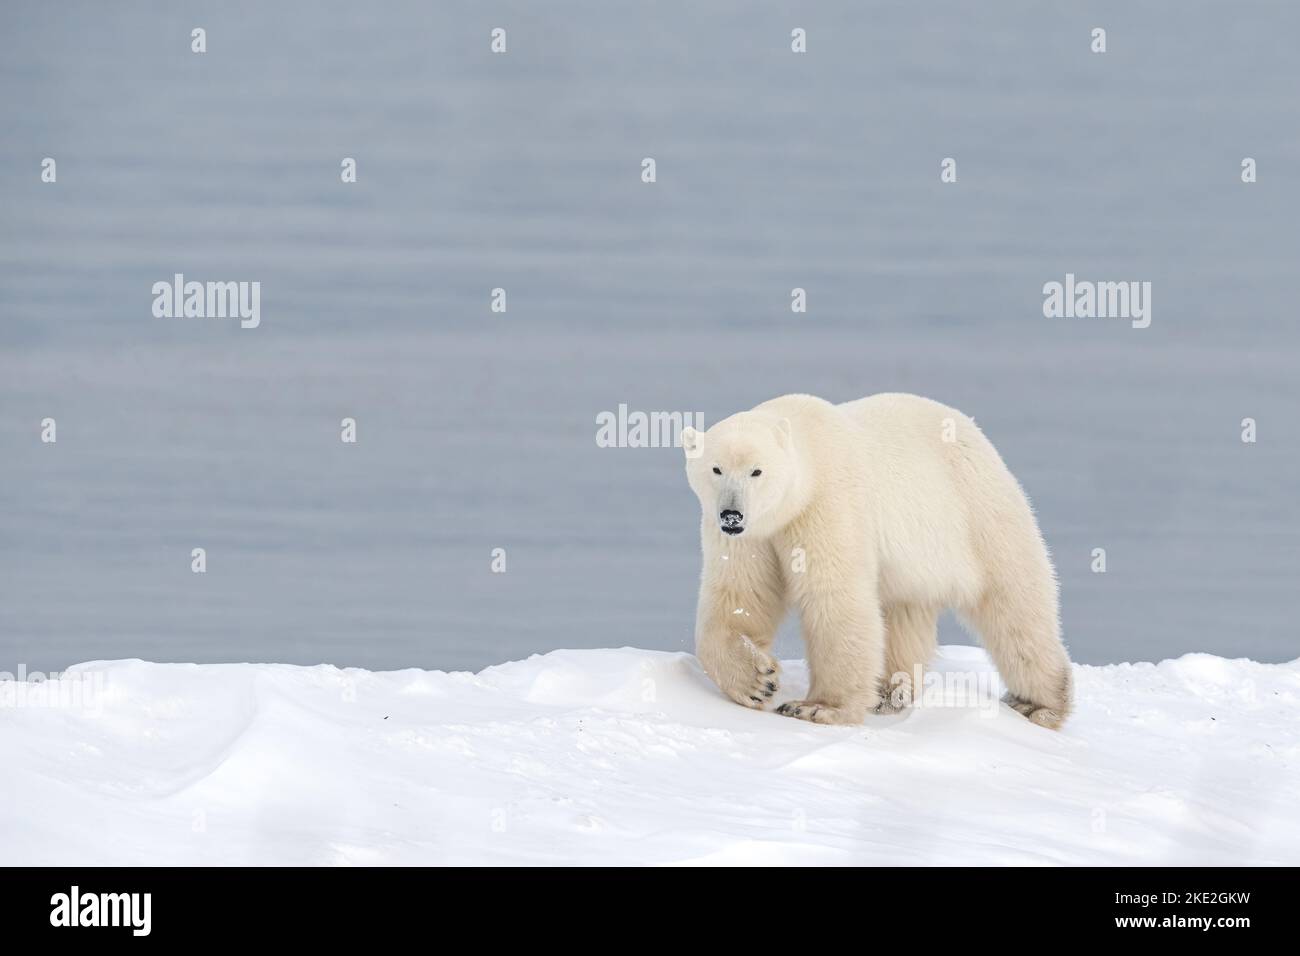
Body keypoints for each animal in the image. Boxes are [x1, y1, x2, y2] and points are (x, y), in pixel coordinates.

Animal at [681, 392, 1073, 729]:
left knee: (1015, 607)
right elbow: (739, 597)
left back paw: (1039, 704)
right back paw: (889, 693)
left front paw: (818, 708)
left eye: (756, 471)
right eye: (716, 469)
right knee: (903, 617)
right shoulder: (749, 537)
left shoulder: (827, 504)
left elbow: (835, 597)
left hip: (978, 515)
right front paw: (756, 681)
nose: (732, 514)